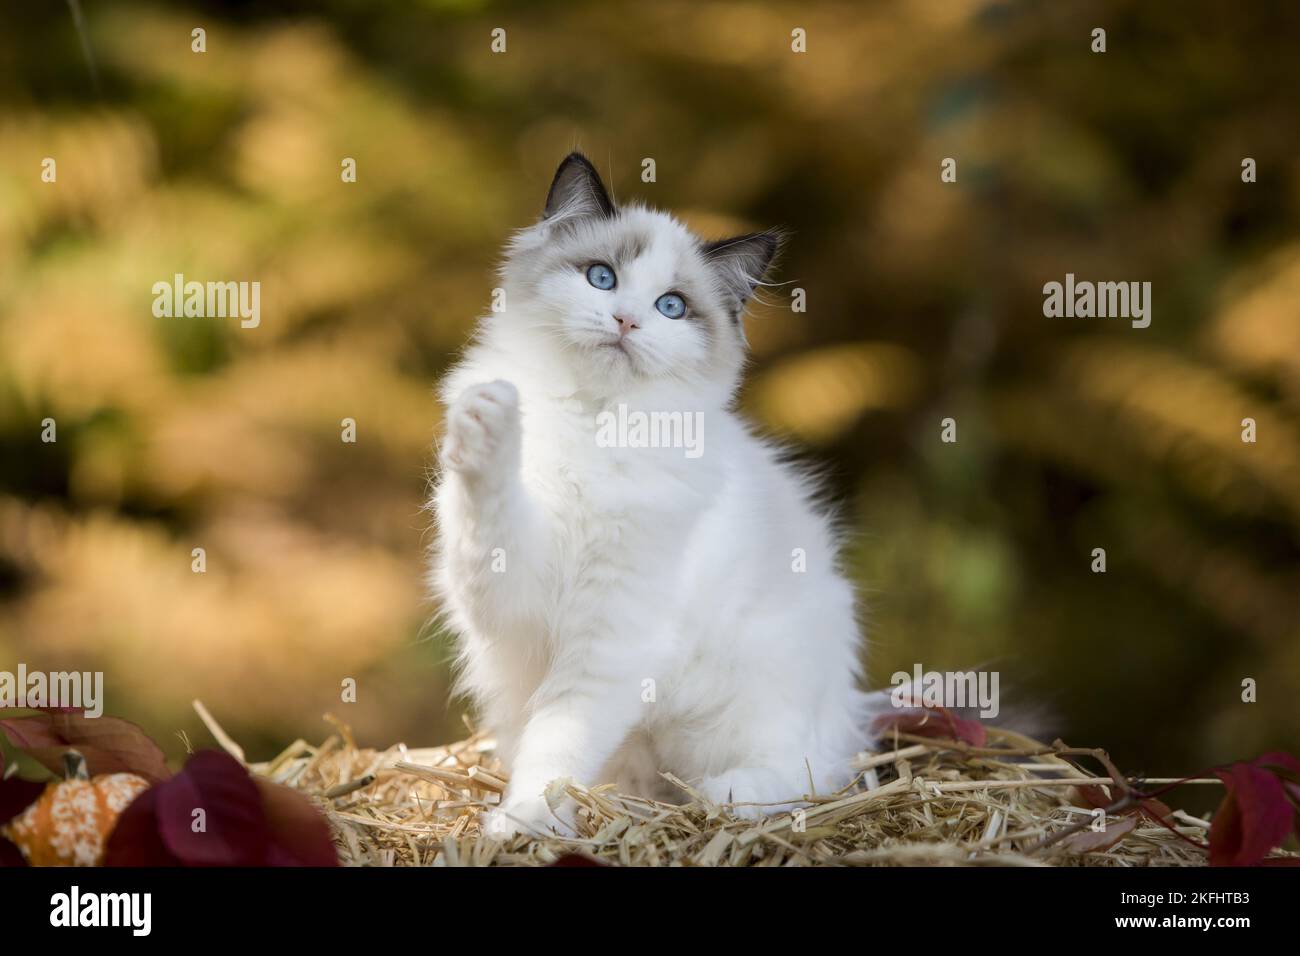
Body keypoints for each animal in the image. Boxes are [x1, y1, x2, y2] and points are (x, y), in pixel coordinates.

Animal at [431, 155, 868, 837]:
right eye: (601, 278)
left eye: (671, 307)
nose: (627, 321)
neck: (595, 426)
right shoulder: (513, 593)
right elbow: (489, 513)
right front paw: (488, 422)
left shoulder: (613, 634)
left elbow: (558, 742)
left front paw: (524, 818)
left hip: (757, 693)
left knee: (805, 775)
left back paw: (724, 797)